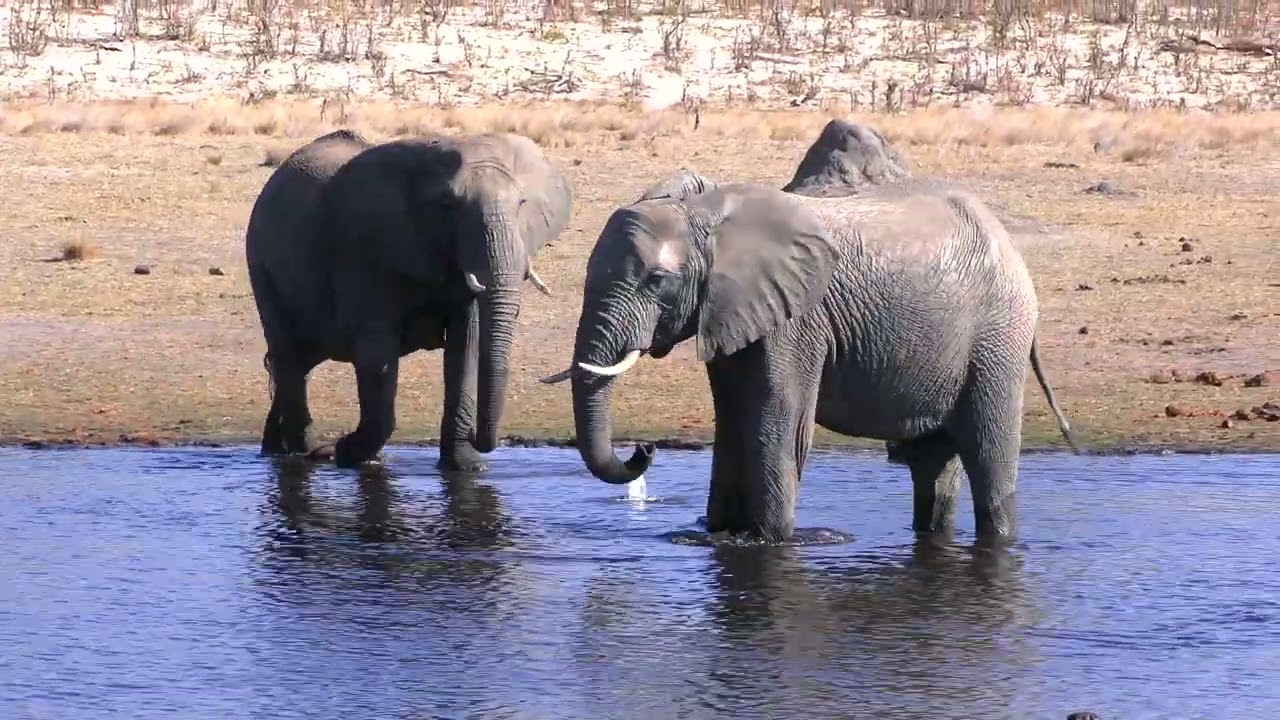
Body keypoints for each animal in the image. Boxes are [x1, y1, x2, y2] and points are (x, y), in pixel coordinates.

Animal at [245, 130, 571, 471]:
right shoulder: (364, 251)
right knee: (290, 358)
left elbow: (466, 346)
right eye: (448, 205)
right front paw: (345, 453)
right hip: (262, 266)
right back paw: (306, 453)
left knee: (295, 362)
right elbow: (377, 352)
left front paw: (466, 467)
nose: (480, 437)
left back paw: (280, 451)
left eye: (522, 204)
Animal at [541, 179, 1076, 543]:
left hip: (997, 339)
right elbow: (732, 419)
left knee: (988, 456)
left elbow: (778, 420)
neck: (707, 212)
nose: (645, 448)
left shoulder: (797, 320)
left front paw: (772, 540)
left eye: (656, 281)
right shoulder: (732, 313)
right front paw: (719, 533)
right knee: (931, 467)